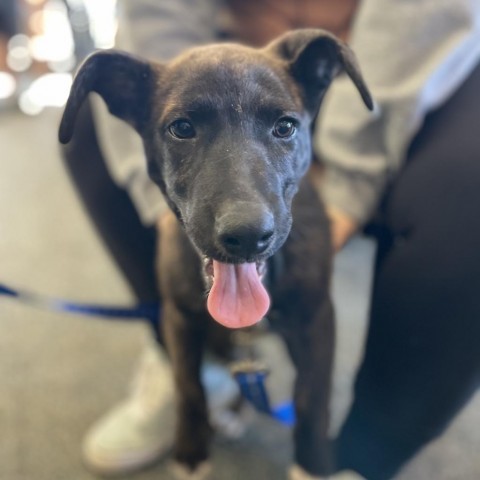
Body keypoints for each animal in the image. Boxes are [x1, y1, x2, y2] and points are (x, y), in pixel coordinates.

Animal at [59, 30, 372, 480]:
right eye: (181, 128)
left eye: (285, 127)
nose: (248, 235)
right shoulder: (179, 317)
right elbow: (189, 388)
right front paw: (191, 451)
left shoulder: (316, 319)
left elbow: (311, 401)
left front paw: (312, 466)